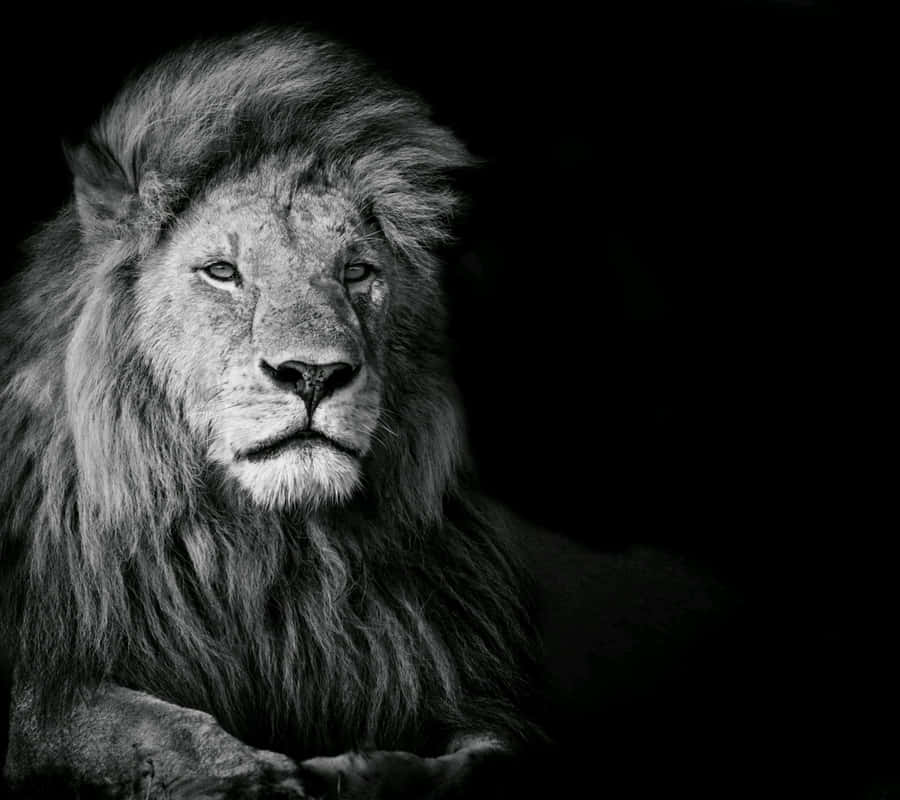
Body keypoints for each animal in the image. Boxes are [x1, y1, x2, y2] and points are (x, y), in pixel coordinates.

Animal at [0, 27, 723, 799]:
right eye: (222, 272)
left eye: (356, 272)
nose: (314, 374)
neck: (275, 559)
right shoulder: (51, 683)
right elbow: (120, 721)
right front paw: (249, 776)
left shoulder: (473, 685)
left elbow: (489, 757)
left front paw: (368, 770)